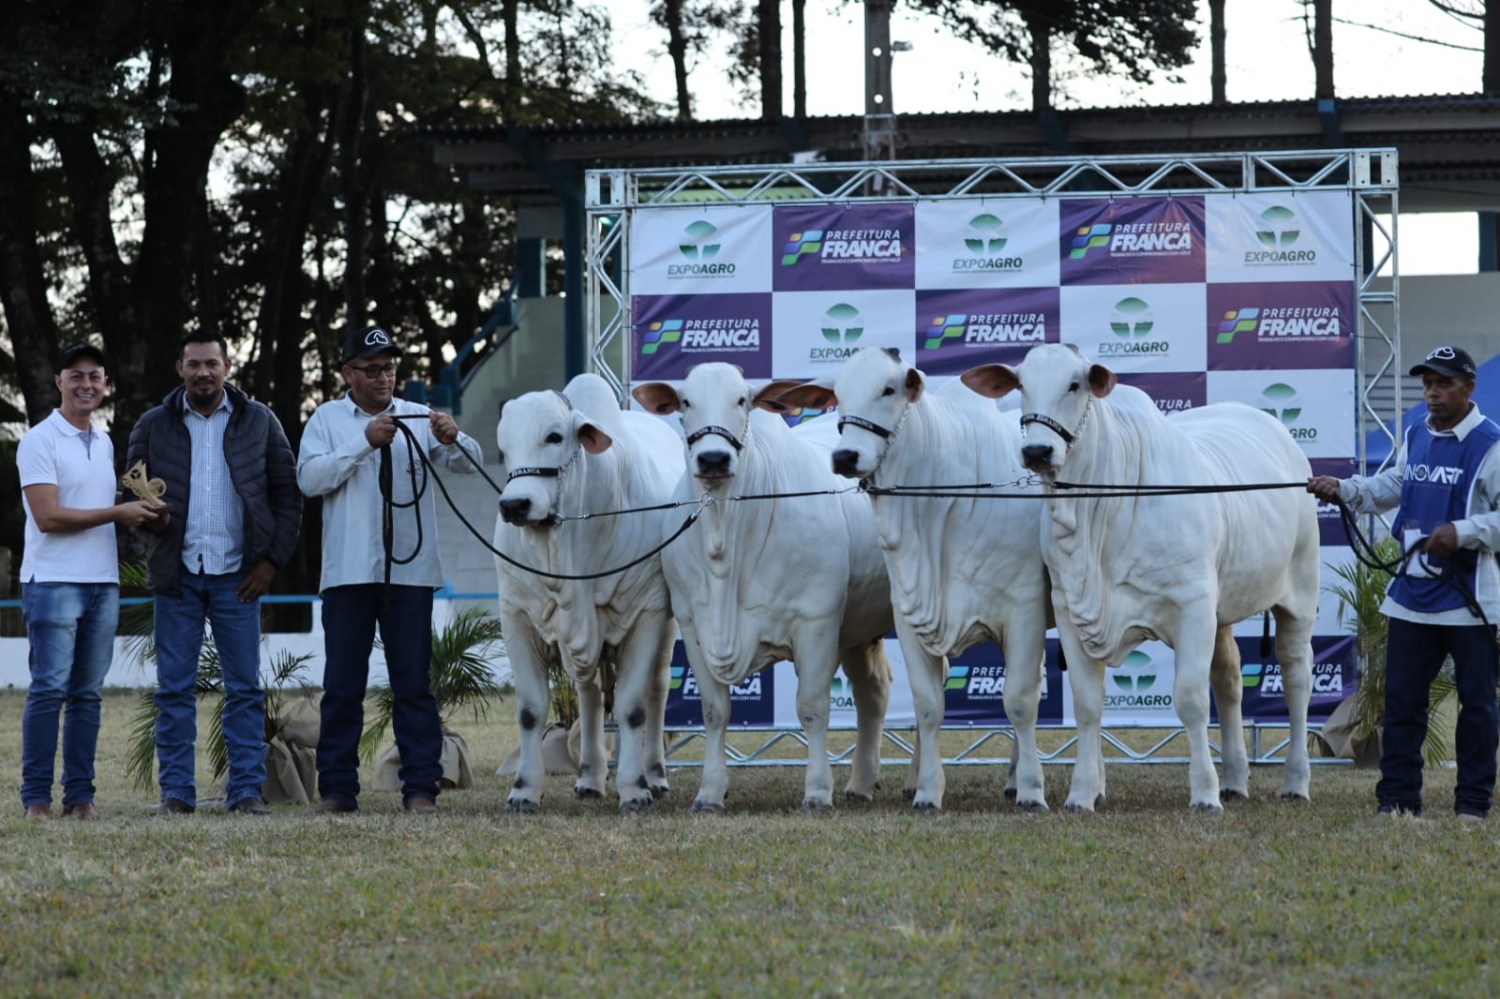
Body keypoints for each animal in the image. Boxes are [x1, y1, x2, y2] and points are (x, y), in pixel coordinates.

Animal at [495, 372, 684, 810]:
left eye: (553, 436)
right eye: (503, 446)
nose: (514, 505)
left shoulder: (646, 613)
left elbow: (632, 708)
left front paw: (634, 789)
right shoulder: (515, 615)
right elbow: (530, 710)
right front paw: (524, 791)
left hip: (667, 626)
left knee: (657, 690)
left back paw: (655, 775)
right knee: (590, 692)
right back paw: (590, 777)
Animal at [630, 361, 894, 816]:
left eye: (742, 400)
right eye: (686, 401)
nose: (714, 458)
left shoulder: (816, 623)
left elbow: (812, 709)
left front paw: (817, 791)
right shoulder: (694, 626)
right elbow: (715, 711)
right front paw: (710, 791)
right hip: (861, 627)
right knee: (873, 692)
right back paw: (862, 784)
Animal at [780, 346, 1050, 804]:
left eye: (889, 389)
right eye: (838, 395)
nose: (844, 457)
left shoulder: (1024, 612)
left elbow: (1019, 702)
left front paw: (1033, 790)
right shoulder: (909, 616)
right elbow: (928, 705)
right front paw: (927, 792)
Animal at [966, 342, 1320, 810]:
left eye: (1075, 384)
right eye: (1021, 385)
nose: (1037, 452)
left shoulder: (1192, 606)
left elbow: (1190, 700)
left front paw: (1204, 794)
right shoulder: (1070, 609)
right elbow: (1088, 706)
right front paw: (1081, 794)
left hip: (1299, 594)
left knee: (1297, 677)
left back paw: (1295, 781)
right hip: (1222, 608)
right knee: (1228, 679)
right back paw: (1234, 779)